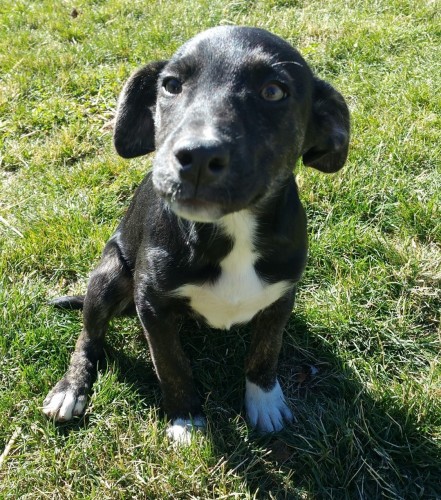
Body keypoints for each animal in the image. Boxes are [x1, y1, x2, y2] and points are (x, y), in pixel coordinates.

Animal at [43, 26, 348, 442]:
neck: (233, 230)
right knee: (88, 337)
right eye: (171, 85)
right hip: (109, 275)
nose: (198, 157)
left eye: (273, 91)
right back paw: (70, 390)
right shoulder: (152, 304)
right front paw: (187, 417)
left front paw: (265, 401)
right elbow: (172, 365)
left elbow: (266, 352)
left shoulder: (282, 297)